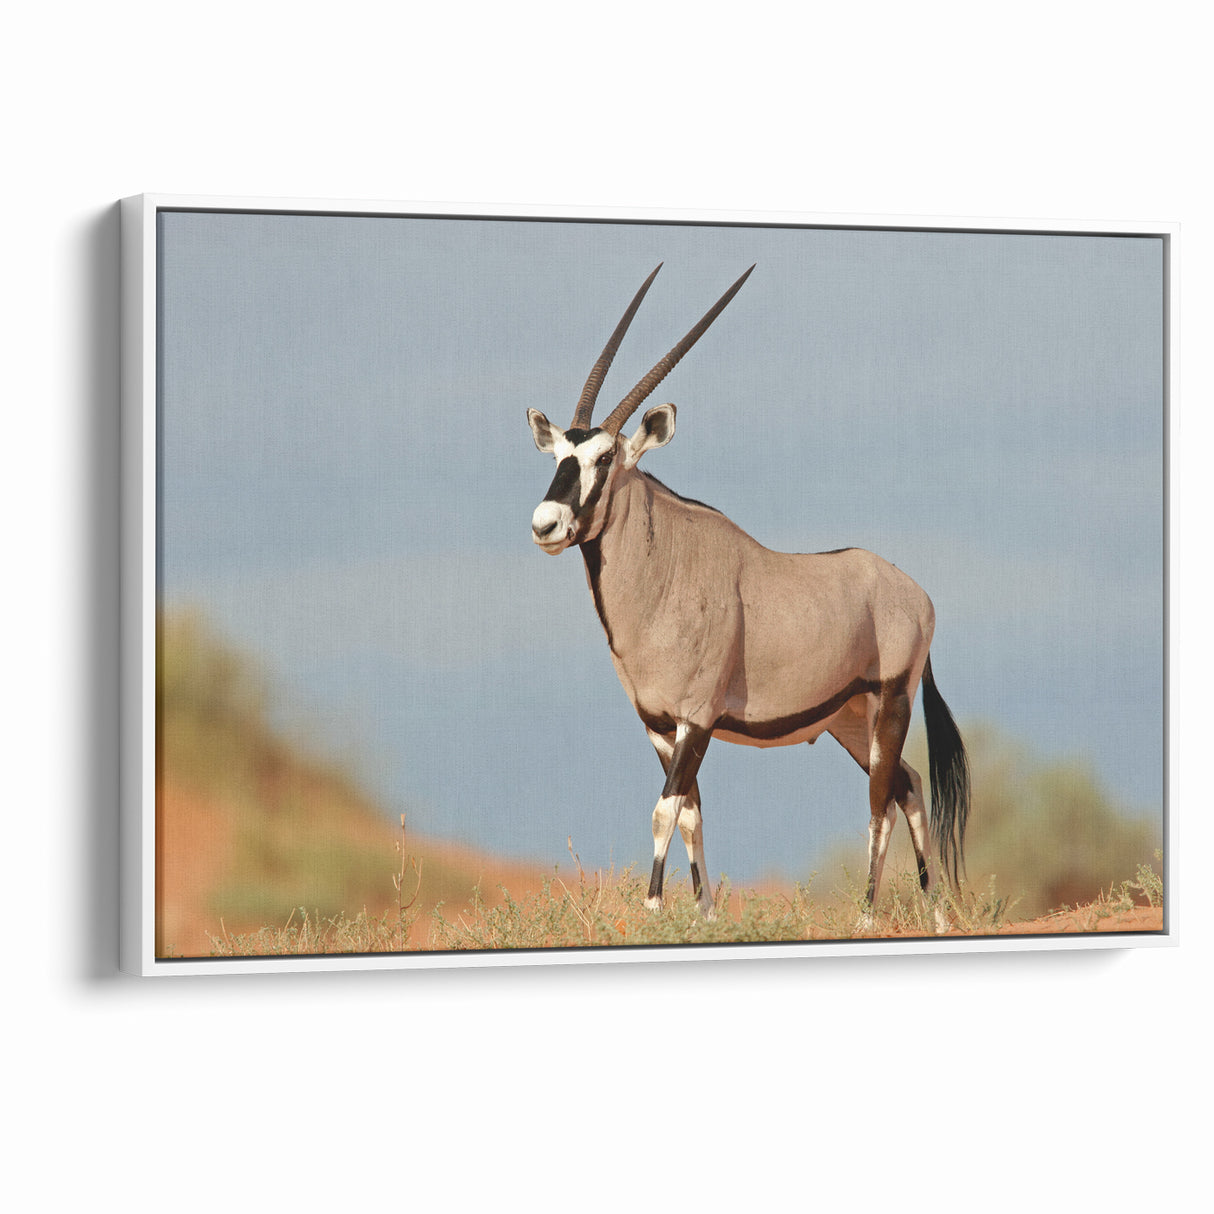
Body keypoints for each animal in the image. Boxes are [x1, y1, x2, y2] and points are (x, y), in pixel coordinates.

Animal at [527, 264, 969, 930]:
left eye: (604, 458)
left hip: (891, 700)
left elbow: (664, 808)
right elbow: (689, 811)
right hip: (849, 718)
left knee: (880, 801)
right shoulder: (659, 725)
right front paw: (704, 914)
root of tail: (913, 592)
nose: (546, 524)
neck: (664, 570)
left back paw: (868, 917)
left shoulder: (698, 717)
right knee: (909, 785)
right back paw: (936, 916)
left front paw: (654, 908)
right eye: (557, 455)